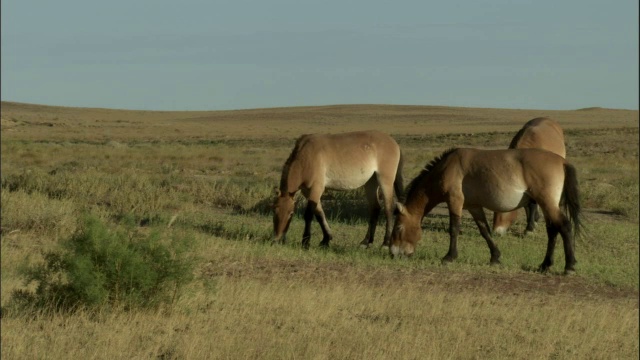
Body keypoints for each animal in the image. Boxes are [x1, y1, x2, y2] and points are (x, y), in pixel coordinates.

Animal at [272, 130, 402, 250]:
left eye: (291, 213)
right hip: (371, 182)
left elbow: (309, 214)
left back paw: (385, 243)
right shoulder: (308, 192)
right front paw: (326, 239)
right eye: (275, 211)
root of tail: (394, 142)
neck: (306, 156)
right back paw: (366, 242)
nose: (277, 239)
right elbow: (320, 214)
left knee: (388, 208)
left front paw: (306, 242)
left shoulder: (316, 189)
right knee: (375, 208)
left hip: (385, 181)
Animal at [388, 148, 584, 274]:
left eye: (398, 228)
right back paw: (544, 265)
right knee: (553, 231)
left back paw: (569, 266)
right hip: (547, 205)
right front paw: (495, 257)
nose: (393, 253)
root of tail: (562, 161)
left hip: (547, 203)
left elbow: (454, 229)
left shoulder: (455, 202)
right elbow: (485, 231)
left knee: (564, 227)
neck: (447, 167)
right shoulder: (474, 207)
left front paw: (449, 257)